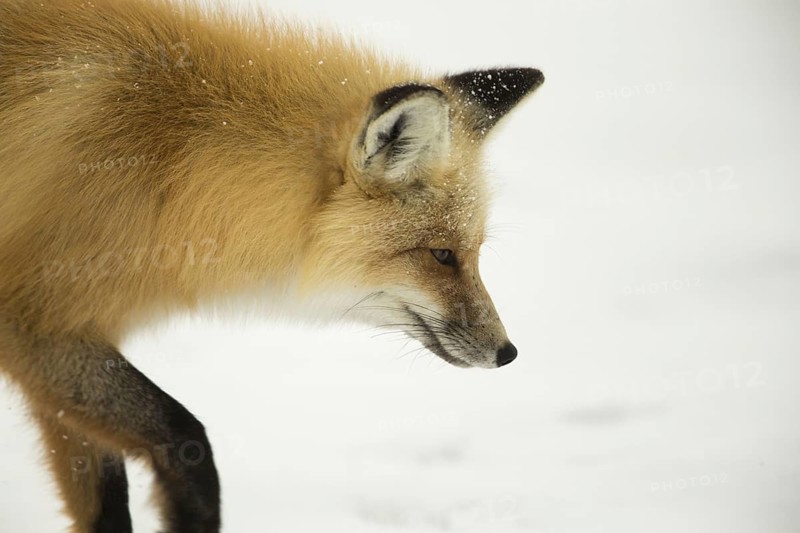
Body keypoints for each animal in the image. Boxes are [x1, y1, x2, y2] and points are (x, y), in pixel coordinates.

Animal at [0, 0, 544, 531]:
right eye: (442, 255)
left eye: (474, 251)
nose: (508, 353)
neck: (171, 164)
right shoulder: (35, 327)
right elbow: (186, 439)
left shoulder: (66, 342)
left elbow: (105, 507)